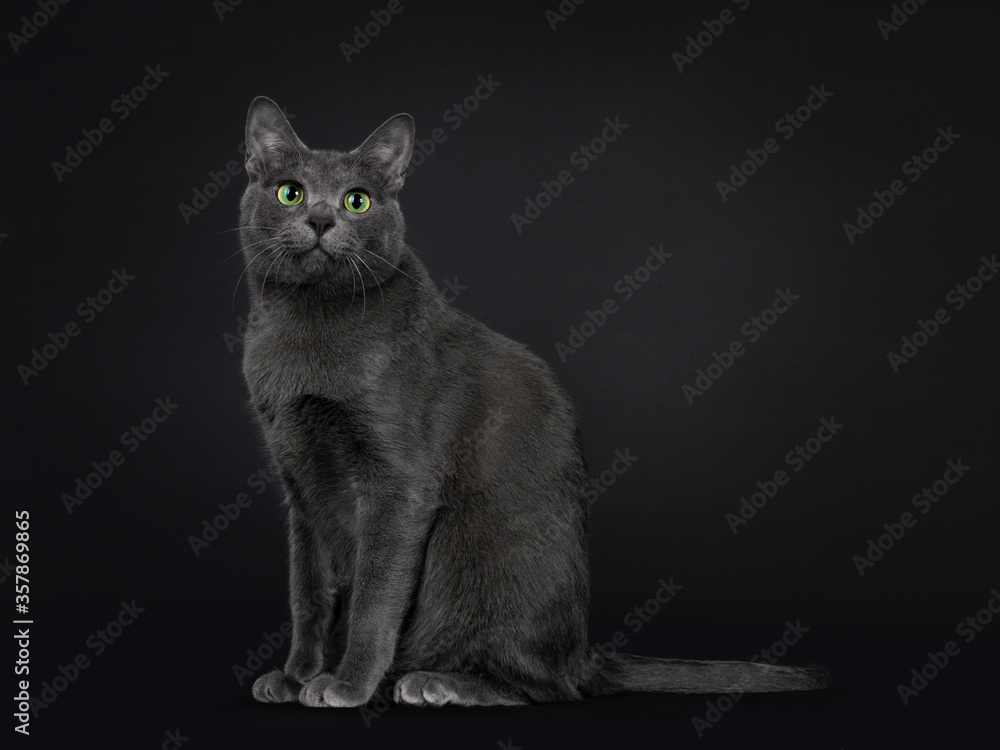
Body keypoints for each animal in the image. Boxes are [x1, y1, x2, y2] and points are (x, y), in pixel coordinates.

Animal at [236, 97, 828, 708]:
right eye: (290, 192)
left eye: (358, 200)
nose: (320, 220)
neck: (305, 329)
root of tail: (583, 653)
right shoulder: (302, 487)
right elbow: (308, 593)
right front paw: (297, 676)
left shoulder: (399, 487)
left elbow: (374, 599)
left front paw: (348, 683)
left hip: (467, 548)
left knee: (544, 687)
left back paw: (435, 683)